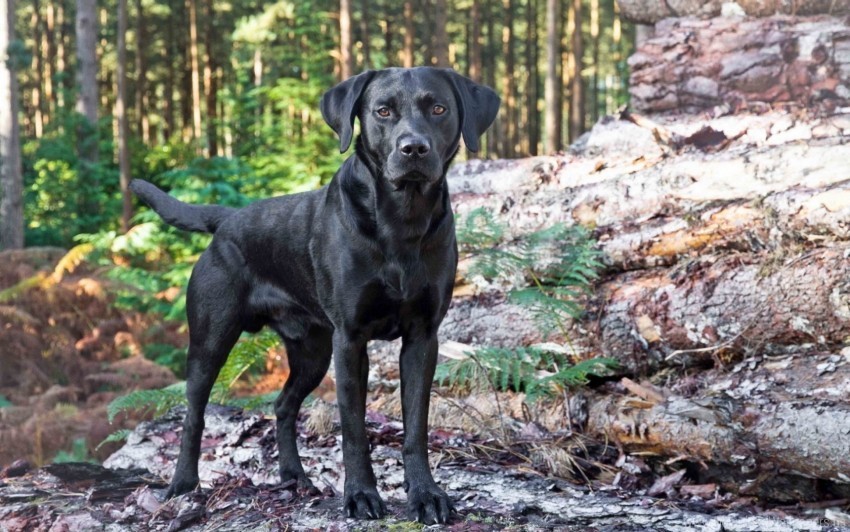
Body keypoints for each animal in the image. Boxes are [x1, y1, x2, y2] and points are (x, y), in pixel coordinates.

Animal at [130, 66, 500, 524]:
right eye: (382, 111)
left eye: (438, 109)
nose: (413, 147)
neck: (401, 222)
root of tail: (227, 220)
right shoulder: (350, 340)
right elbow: (354, 429)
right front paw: (361, 495)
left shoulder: (422, 337)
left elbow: (416, 426)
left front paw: (426, 494)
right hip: (210, 341)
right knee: (193, 415)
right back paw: (182, 484)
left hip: (312, 352)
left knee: (284, 406)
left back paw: (294, 477)